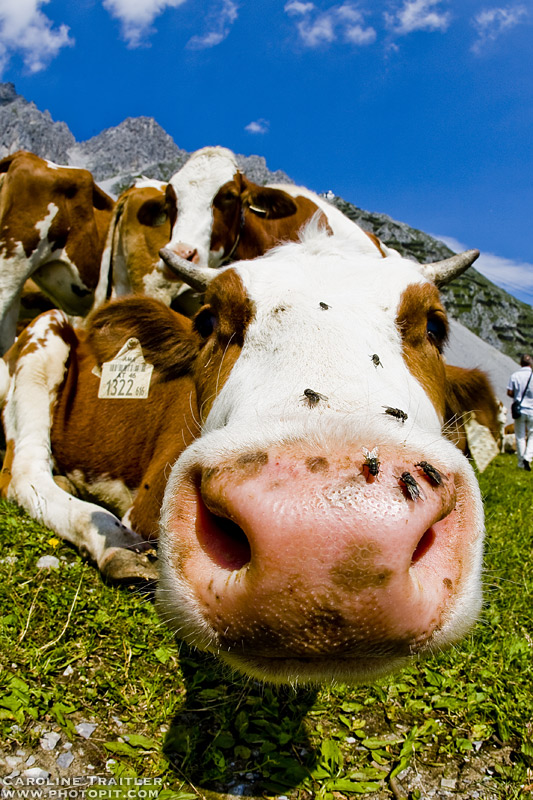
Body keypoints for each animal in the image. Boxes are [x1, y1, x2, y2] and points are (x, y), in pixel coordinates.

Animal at [0, 228, 482, 684]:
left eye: (435, 327)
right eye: (208, 319)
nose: (322, 545)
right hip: (44, 333)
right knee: (23, 474)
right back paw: (113, 545)